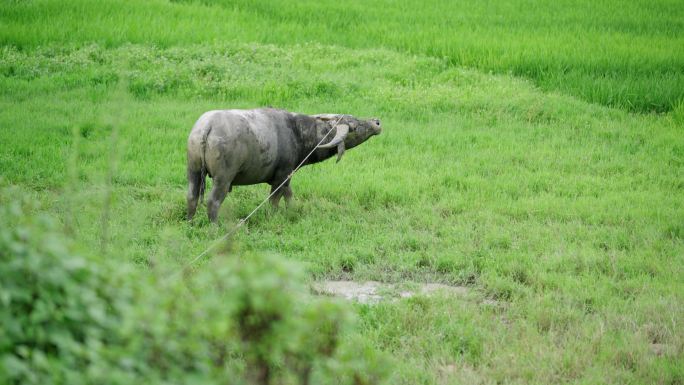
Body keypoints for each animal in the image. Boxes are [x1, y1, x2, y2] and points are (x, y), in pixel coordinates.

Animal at [184, 108, 382, 222]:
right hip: (223, 178)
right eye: (355, 125)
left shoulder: (287, 177)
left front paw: (291, 211)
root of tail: (207, 127)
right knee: (213, 201)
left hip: (193, 171)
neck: (297, 132)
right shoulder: (281, 175)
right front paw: (273, 216)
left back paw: (190, 221)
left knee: (192, 197)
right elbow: (274, 199)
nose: (377, 122)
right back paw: (215, 226)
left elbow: (289, 194)